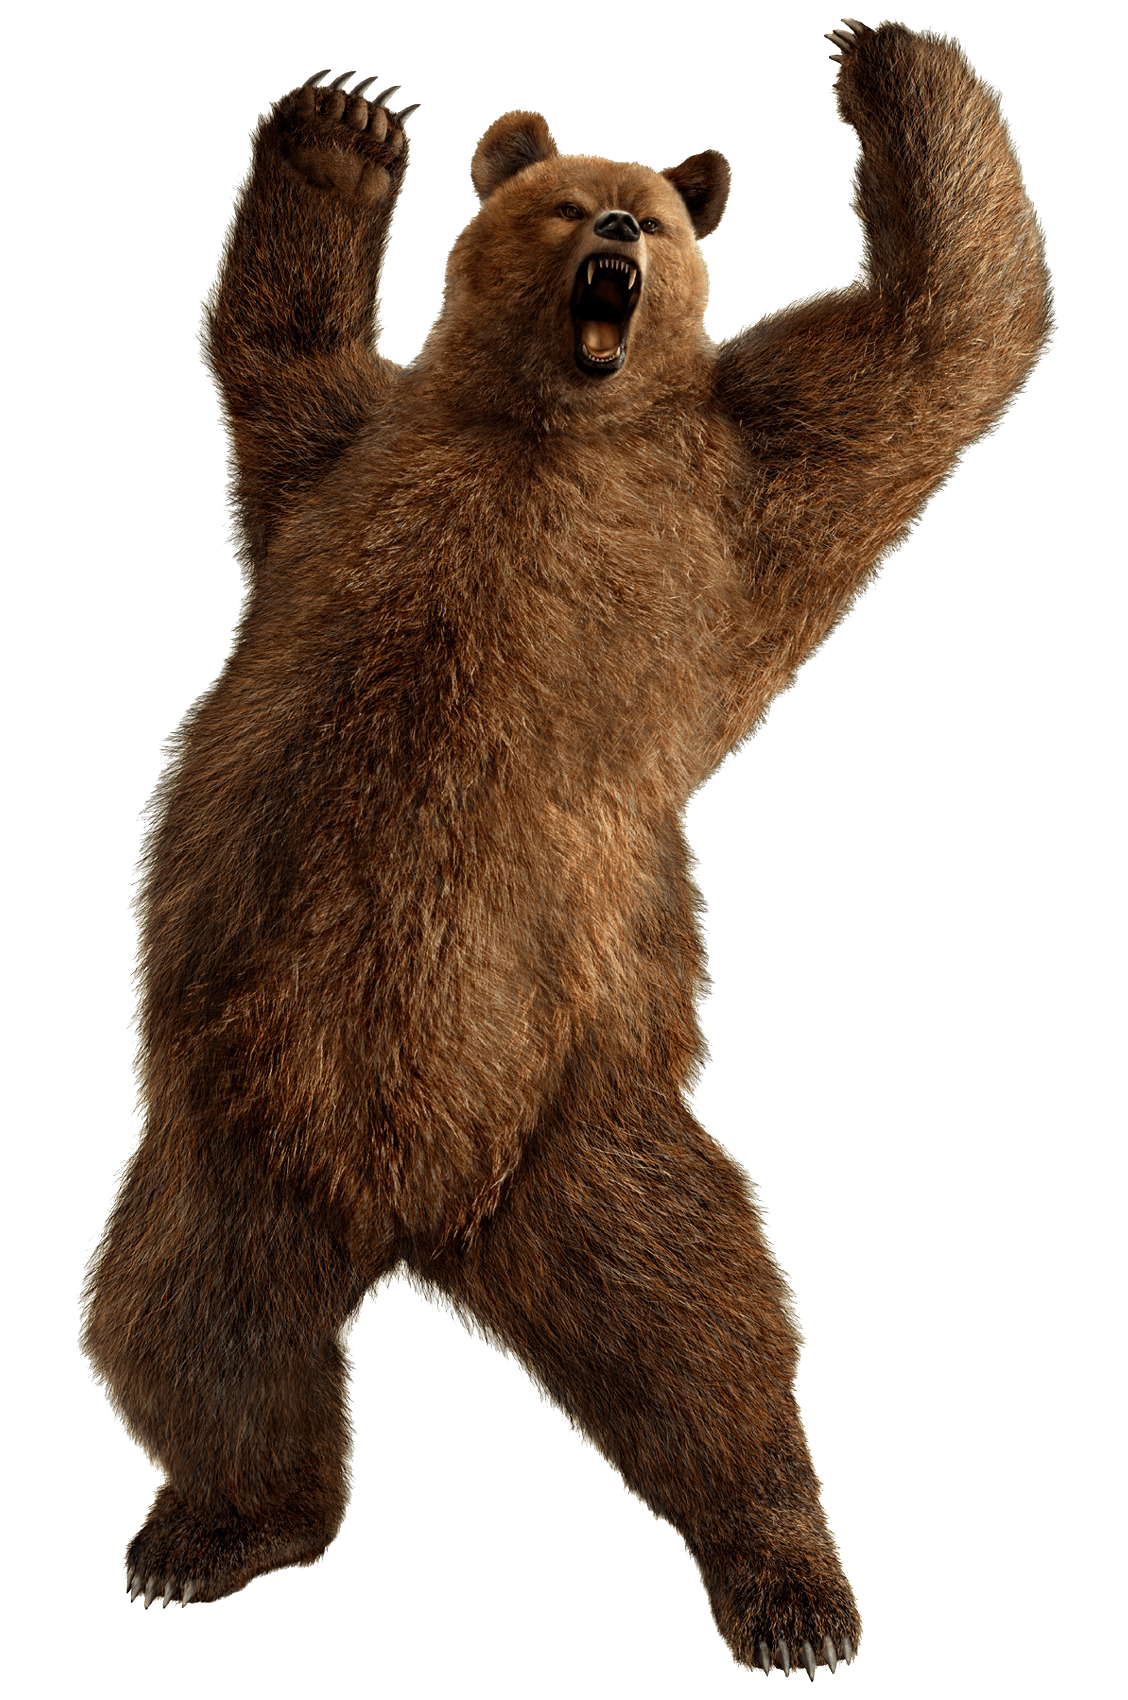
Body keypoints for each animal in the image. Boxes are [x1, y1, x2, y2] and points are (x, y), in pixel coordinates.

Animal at [80, 21, 1052, 1674]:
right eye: (562, 203)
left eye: (647, 214)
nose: (613, 243)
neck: (549, 421)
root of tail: (410, 1213)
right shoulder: (352, 463)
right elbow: (279, 361)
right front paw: (348, 125)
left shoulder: (727, 481)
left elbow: (935, 338)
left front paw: (883, 60)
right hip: (230, 1143)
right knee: (186, 1329)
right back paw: (208, 1532)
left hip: (580, 1121)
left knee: (708, 1327)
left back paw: (791, 1586)